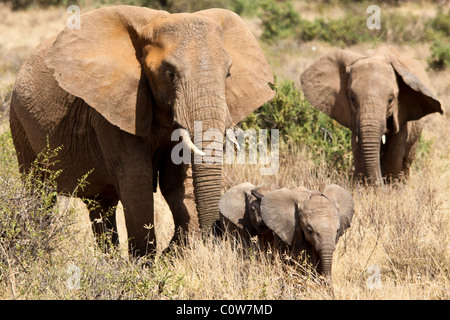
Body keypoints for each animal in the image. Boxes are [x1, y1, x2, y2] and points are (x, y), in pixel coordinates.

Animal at [9, 6, 274, 256]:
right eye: (169, 73)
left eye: (228, 73)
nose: (217, 231)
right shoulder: (113, 109)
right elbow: (136, 180)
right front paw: (144, 268)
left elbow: (176, 183)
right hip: (19, 123)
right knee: (39, 193)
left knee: (100, 205)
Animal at [300, 45, 442, 185]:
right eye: (352, 98)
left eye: (391, 100)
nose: (380, 184)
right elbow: (358, 149)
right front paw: (364, 187)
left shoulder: (402, 114)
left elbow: (394, 152)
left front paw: (389, 187)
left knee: (407, 159)